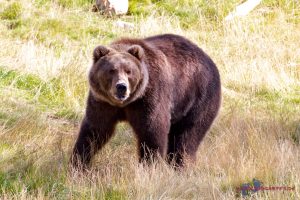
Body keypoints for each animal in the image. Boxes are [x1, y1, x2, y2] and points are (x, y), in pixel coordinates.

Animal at [69, 33, 220, 168]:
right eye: (111, 70)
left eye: (128, 71)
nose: (121, 87)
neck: (125, 103)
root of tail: (207, 58)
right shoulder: (103, 102)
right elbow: (95, 130)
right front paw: (78, 163)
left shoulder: (149, 97)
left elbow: (152, 130)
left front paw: (149, 165)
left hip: (198, 97)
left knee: (187, 137)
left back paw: (181, 166)